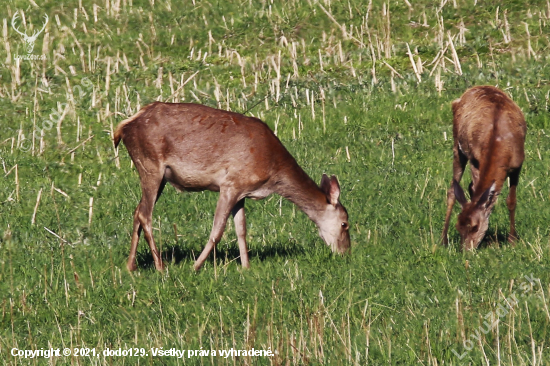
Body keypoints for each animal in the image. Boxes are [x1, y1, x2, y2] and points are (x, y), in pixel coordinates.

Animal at [114, 102, 352, 272]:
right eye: (345, 224)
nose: (346, 252)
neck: (273, 171)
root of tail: (123, 127)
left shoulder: (242, 191)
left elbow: (241, 229)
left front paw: (246, 267)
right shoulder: (230, 183)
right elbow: (217, 229)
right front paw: (196, 266)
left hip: (157, 174)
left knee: (137, 210)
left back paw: (130, 266)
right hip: (150, 164)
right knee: (145, 214)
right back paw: (160, 266)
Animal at [444, 86, 528, 250]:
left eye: (475, 227)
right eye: (458, 227)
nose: (466, 251)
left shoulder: (518, 164)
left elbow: (511, 201)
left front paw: (512, 241)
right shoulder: (475, 160)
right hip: (458, 145)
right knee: (452, 190)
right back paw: (442, 240)